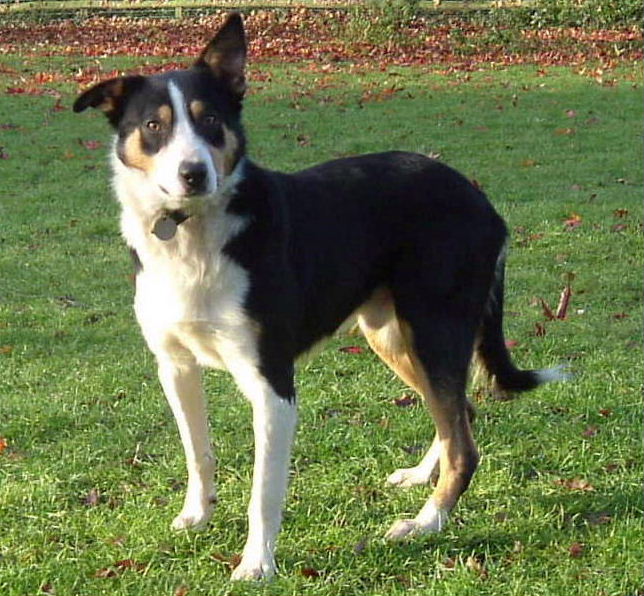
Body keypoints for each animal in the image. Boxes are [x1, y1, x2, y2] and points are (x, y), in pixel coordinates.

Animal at [71, 12, 564, 584]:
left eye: (210, 119)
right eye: (154, 126)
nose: (193, 174)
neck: (194, 236)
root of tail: (480, 199)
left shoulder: (271, 384)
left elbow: (264, 491)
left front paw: (256, 564)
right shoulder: (175, 365)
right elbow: (199, 453)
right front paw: (197, 516)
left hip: (435, 330)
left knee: (464, 444)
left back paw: (424, 524)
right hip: (394, 335)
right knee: (459, 413)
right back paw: (421, 478)